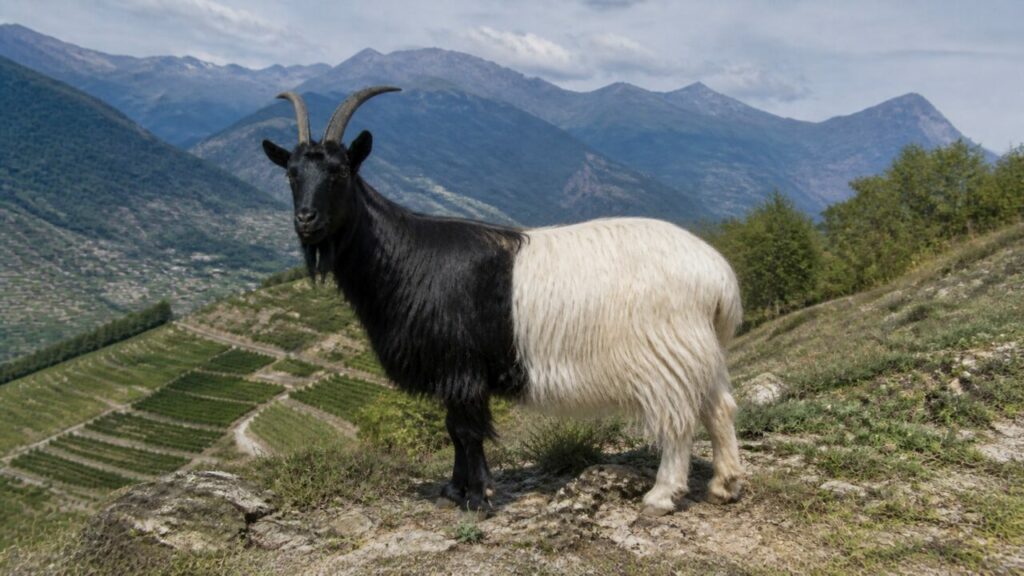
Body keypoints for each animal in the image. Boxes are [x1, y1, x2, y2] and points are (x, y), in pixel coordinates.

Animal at [262, 88, 745, 516]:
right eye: (291, 174)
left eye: (340, 171)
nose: (306, 220)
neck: (408, 256)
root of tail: (719, 277)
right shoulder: (453, 372)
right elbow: (454, 429)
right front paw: (454, 491)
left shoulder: (461, 365)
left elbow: (465, 430)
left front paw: (477, 498)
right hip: (699, 353)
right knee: (720, 407)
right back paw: (725, 484)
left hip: (666, 357)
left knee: (679, 421)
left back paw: (662, 496)